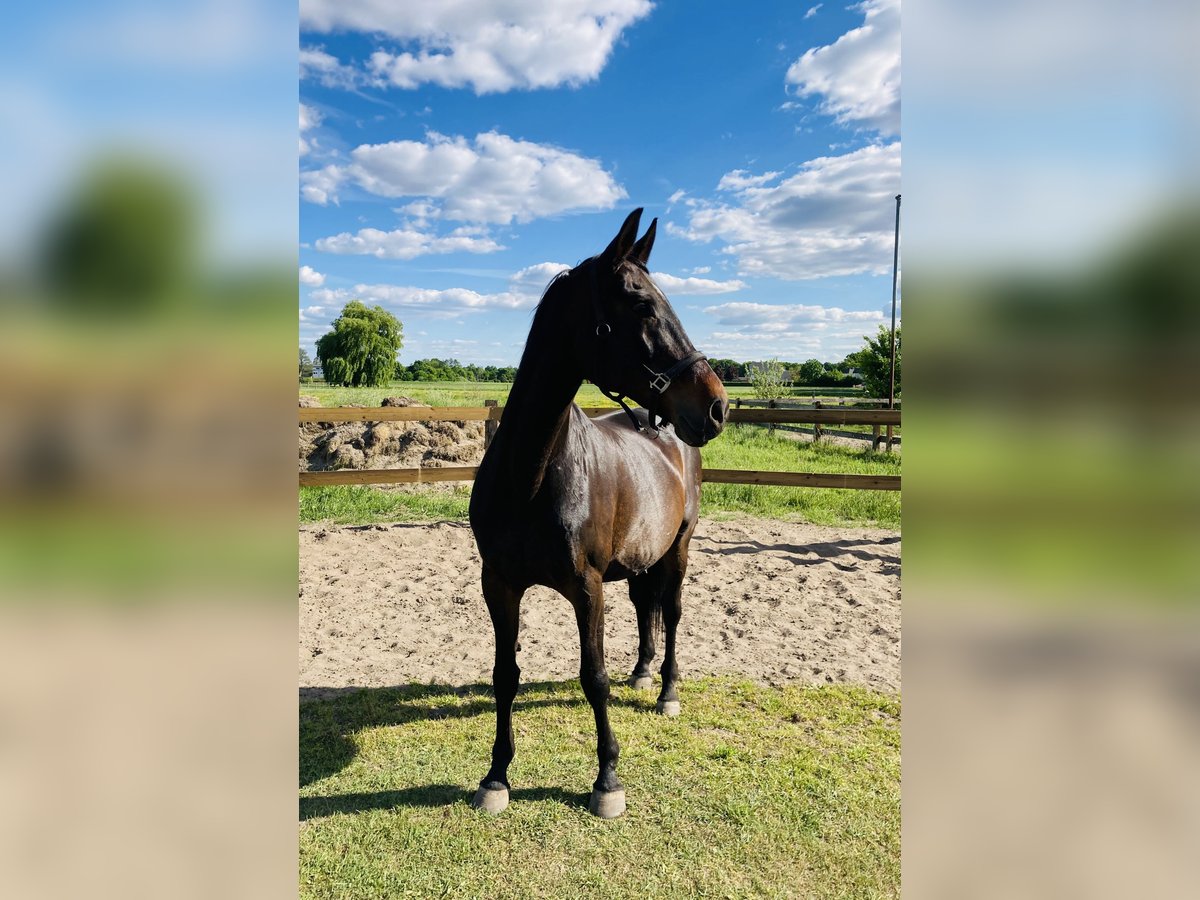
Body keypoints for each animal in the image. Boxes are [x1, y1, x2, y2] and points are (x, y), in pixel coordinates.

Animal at [468, 208, 729, 818]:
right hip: (640, 560)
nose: (716, 406)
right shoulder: (500, 584)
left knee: (672, 613)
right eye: (641, 304)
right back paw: (644, 672)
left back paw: (667, 690)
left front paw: (607, 779)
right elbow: (504, 674)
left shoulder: (586, 588)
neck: (530, 476)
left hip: (679, 548)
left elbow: (594, 678)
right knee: (645, 608)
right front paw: (497, 775)